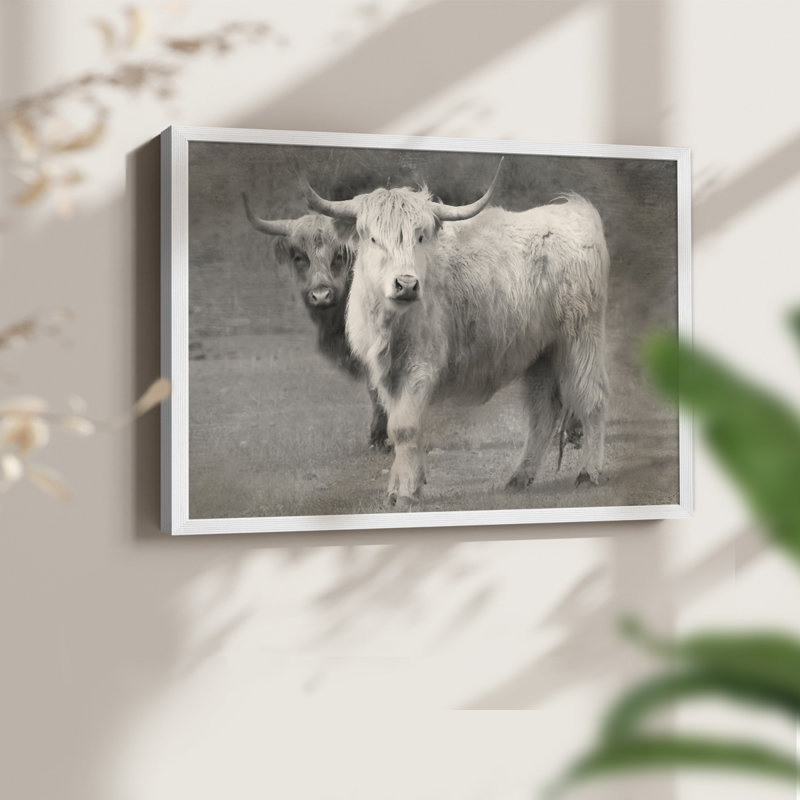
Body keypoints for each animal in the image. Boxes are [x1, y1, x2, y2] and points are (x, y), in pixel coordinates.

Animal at [301, 163, 610, 509]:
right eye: (373, 238)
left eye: (420, 237)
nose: (406, 284)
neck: (391, 322)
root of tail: (573, 210)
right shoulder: (386, 375)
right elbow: (398, 427)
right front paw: (402, 486)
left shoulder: (421, 367)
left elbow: (405, 428)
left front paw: (405, 493)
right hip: (539, 352)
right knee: (543, 411)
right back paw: (520, 477)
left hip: (581, 339)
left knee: (592, 399)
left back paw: (588, 473)